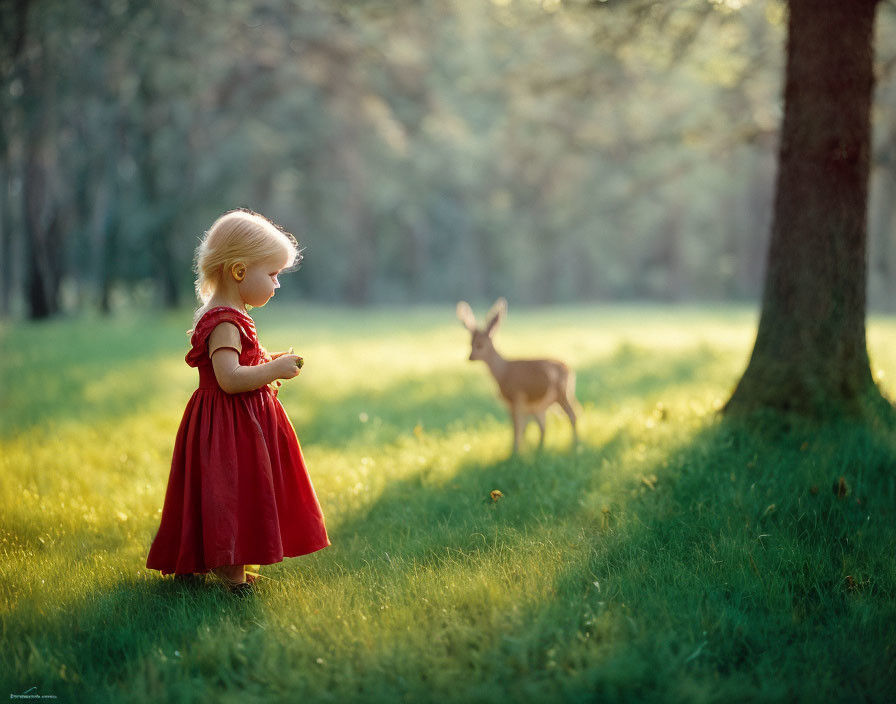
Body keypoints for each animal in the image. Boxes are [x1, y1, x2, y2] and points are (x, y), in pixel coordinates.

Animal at [456, 298, 580, 456]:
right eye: (470, 343)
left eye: (481, 344)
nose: (470, 357)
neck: (502, 372)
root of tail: (570, 371)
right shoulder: (513, 403)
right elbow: (518, 428)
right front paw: (518, 450)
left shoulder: (517, 396)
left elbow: (517, 427)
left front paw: (515, 451)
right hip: (543, 402)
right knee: (545, 425)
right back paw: (541, 449)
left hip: (561, 393)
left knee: (572, 415)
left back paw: (575, 444)